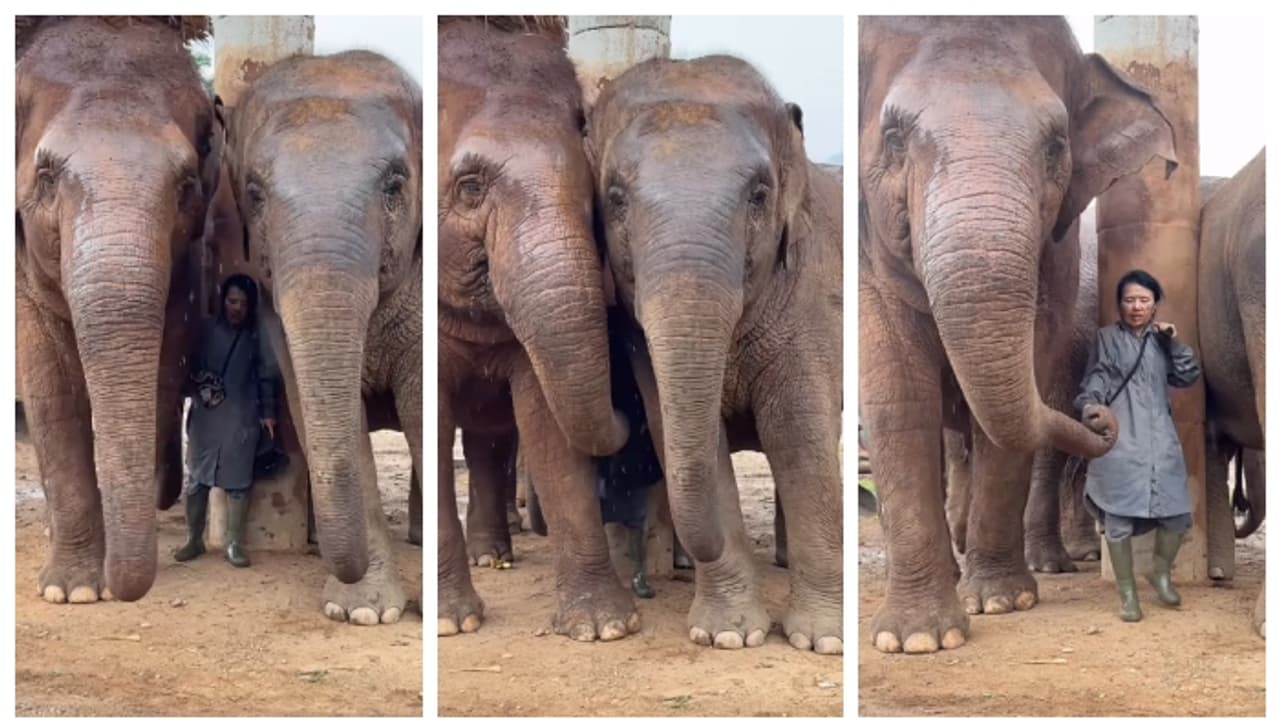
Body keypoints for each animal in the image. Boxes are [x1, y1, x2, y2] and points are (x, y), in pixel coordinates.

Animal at [15, 16, 219, 603]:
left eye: (187, 185)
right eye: (46, 178)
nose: (122, 587)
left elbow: (166, 366)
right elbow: (50, 387)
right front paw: (73, 592)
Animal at [437, 17, 637, 641]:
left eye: (594, 194)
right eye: (470, 187)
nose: (630, 409)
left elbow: (547, 423)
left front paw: (604, 628)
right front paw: (451, 624)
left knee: (488, 443)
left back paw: (491, 554)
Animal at [587, 54, 844, 654]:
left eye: (759, 195)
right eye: (614, 199)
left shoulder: (811, 296)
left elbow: (800, 434)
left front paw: (821, 642)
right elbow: (696, 443)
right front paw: (727, 635)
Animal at [859, 17, 1178, 654]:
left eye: (1056, 145)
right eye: (895, 139)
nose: (1098, 414)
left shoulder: (1058, 253)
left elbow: (1028, 368)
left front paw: (1000, 602)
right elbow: (898, 393)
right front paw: (916, 639)